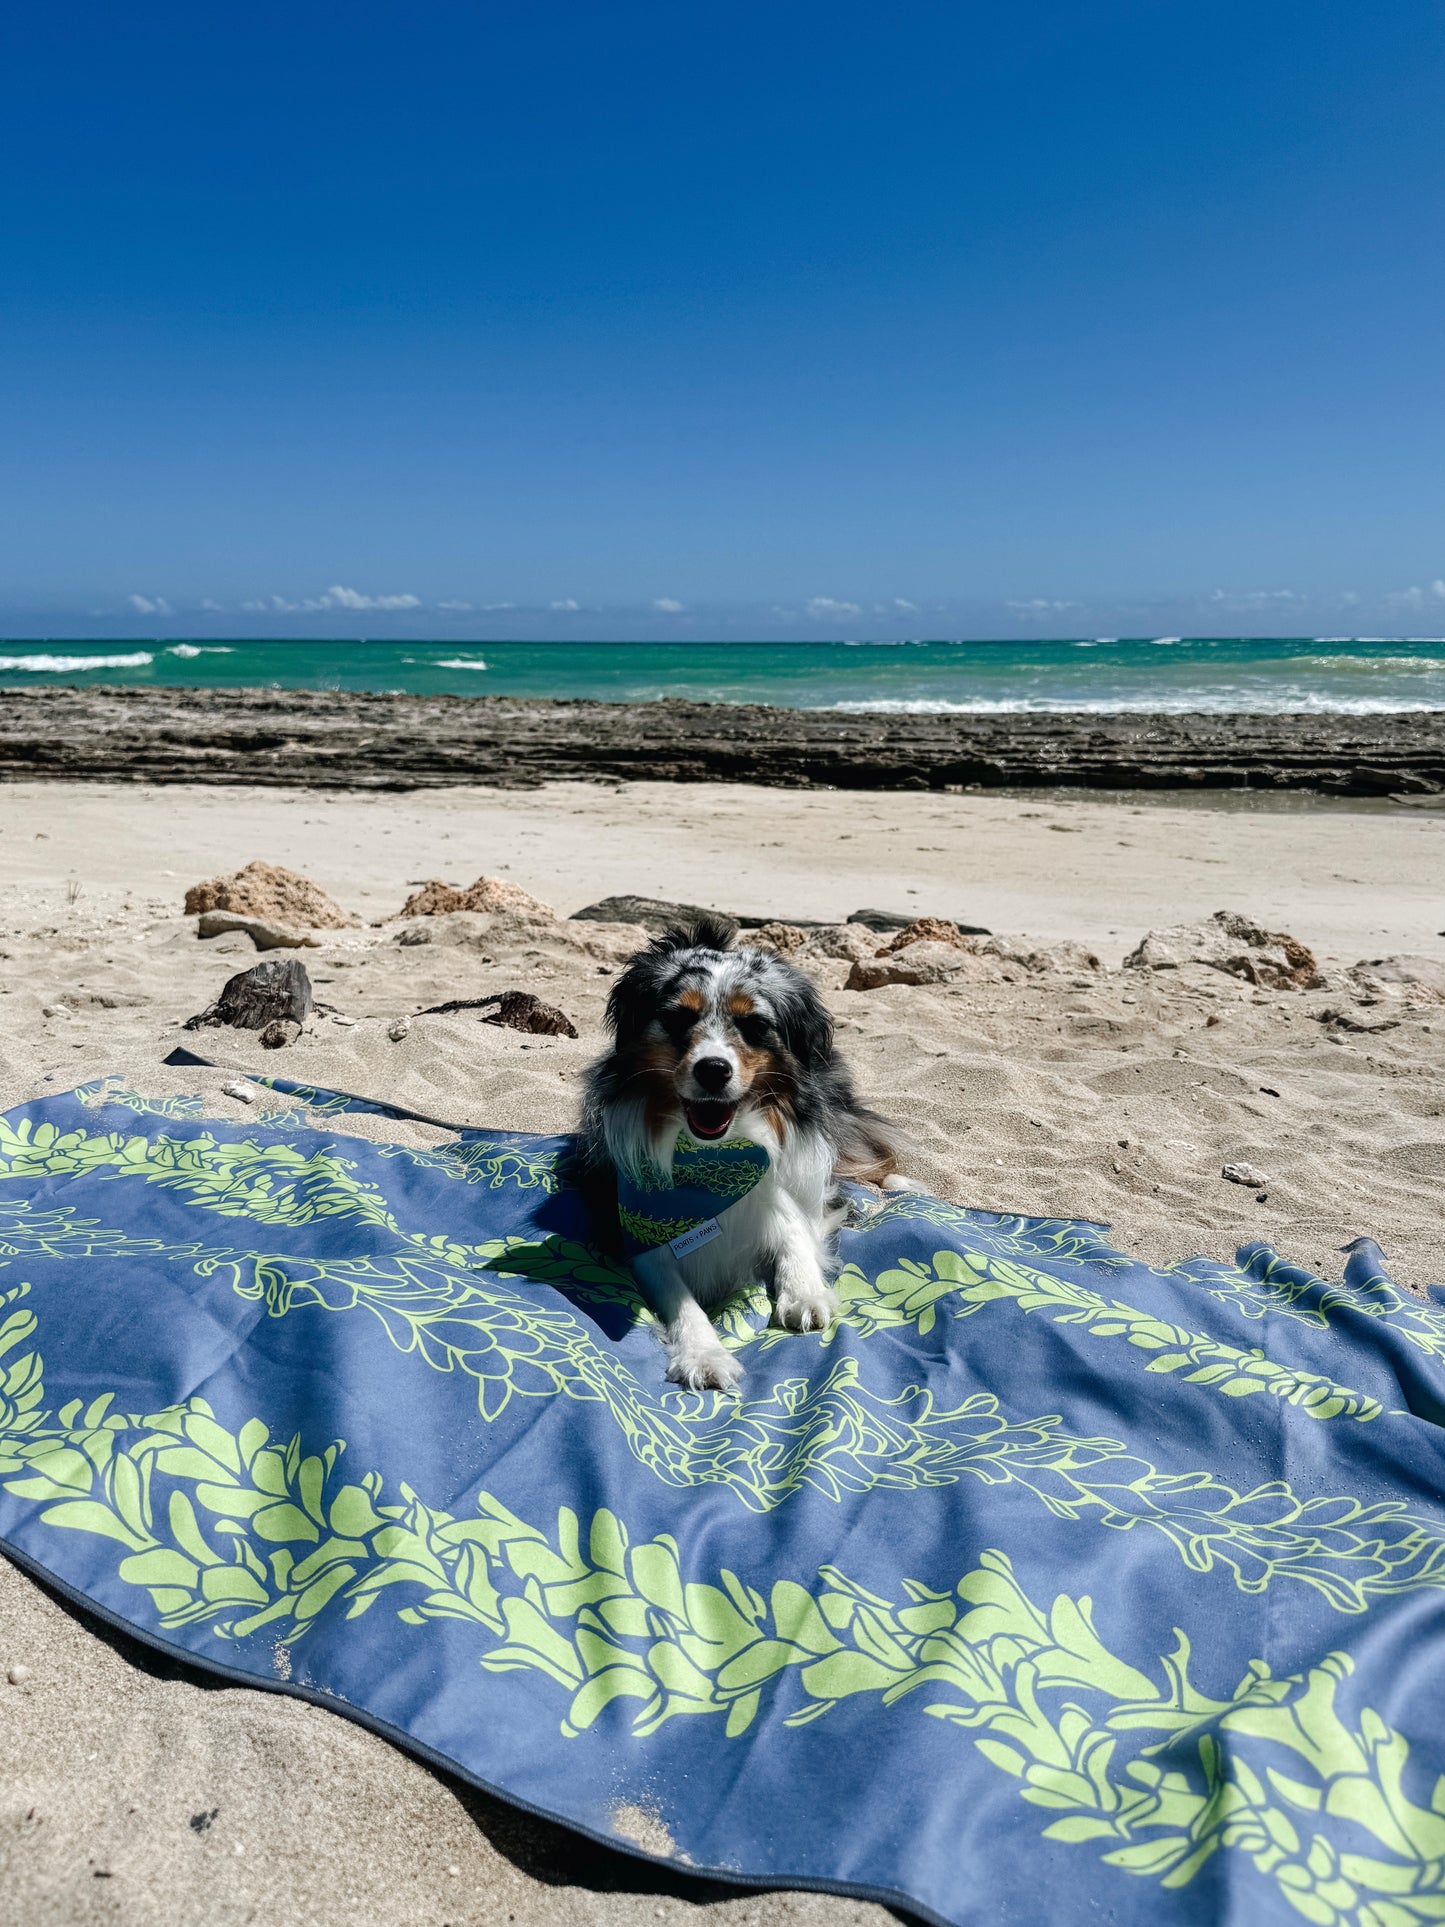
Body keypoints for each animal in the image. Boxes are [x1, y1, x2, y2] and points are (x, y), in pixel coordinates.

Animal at [574, 913, 905, 1387]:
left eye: (754, 1026)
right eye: (678, 1018)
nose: (713, 1070)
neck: (716, 1157)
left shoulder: (790, 1189)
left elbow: (795, 1232)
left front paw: (804, 1292)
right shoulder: (639, 1232)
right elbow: (679, 1297)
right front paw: (704, 1352)